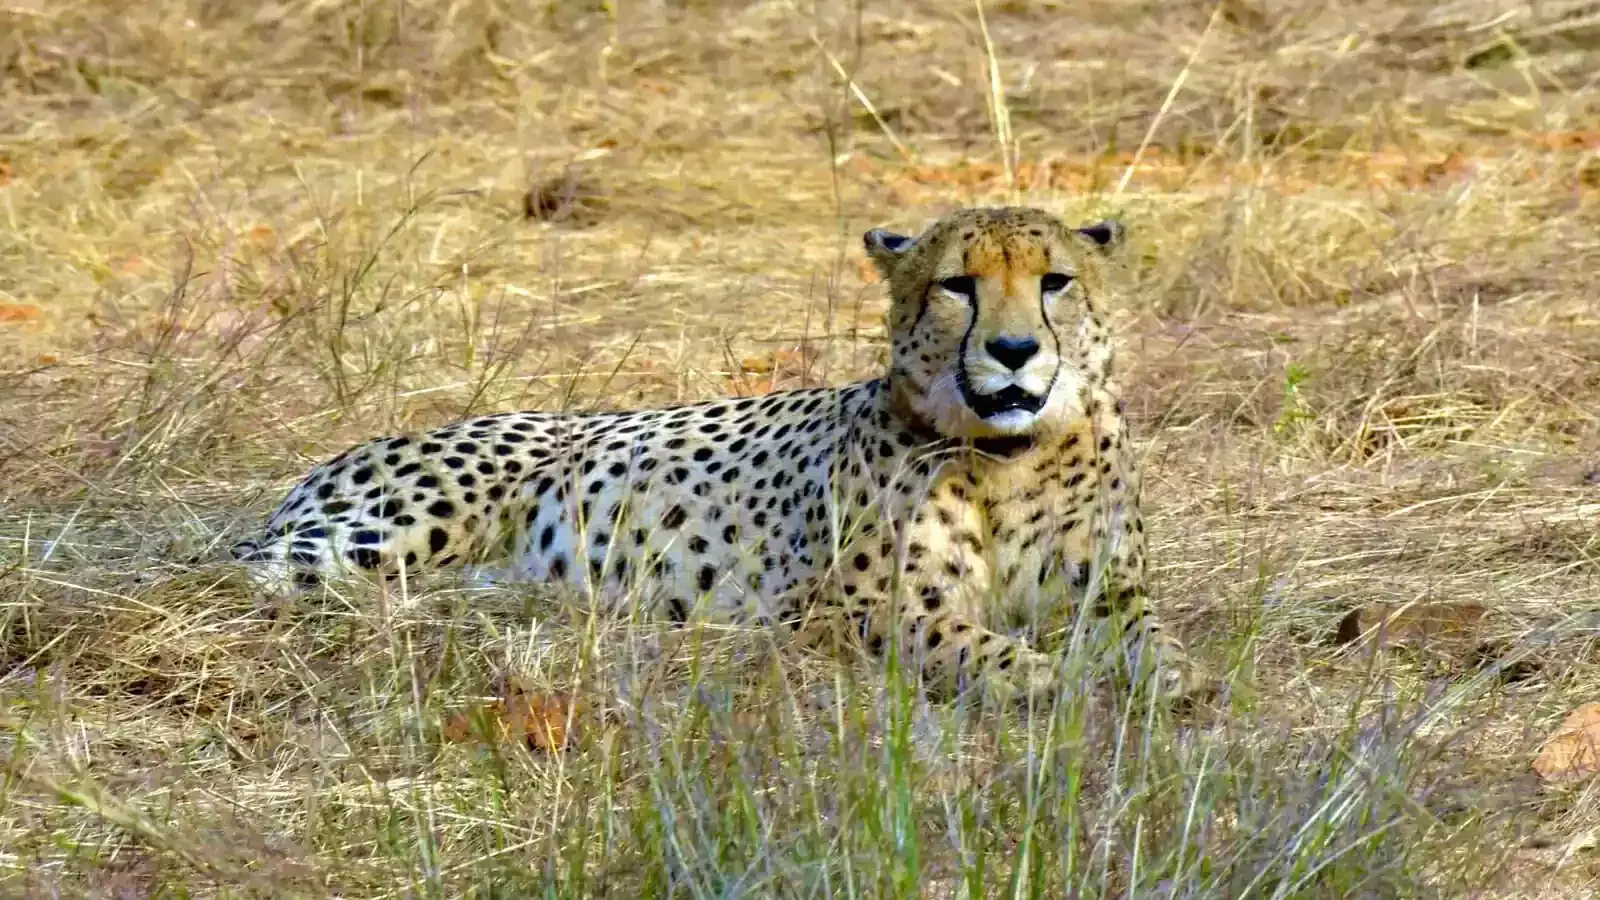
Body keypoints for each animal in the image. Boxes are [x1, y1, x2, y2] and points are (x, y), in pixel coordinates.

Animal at [233, 204, 1203, 701]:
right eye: (957, 286)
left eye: (1055, 281)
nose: (1013, 351)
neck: (1008, 455)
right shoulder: (852, 609)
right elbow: (973, 645)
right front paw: (1048, 679)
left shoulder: (1107, 589)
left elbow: (1151, 639)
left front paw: (1170, 681)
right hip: (381, 533)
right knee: (237, 574)